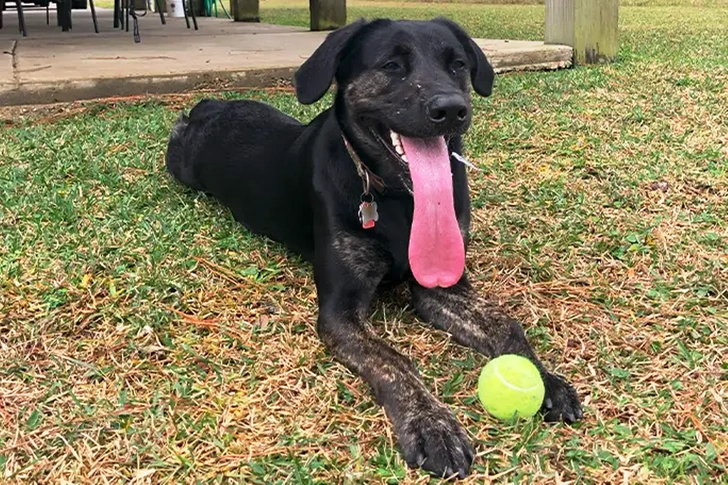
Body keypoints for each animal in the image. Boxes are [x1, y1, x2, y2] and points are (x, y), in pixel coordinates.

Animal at [164, 17, 580, 478]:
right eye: (391, 65)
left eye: (457, 64)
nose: (452, 109)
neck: (400, 200)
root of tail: (210, 106)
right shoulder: (340, 312)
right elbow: (392, 360)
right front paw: (432, 424)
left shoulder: (443, 286)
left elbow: (507, 325)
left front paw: (546, 379)